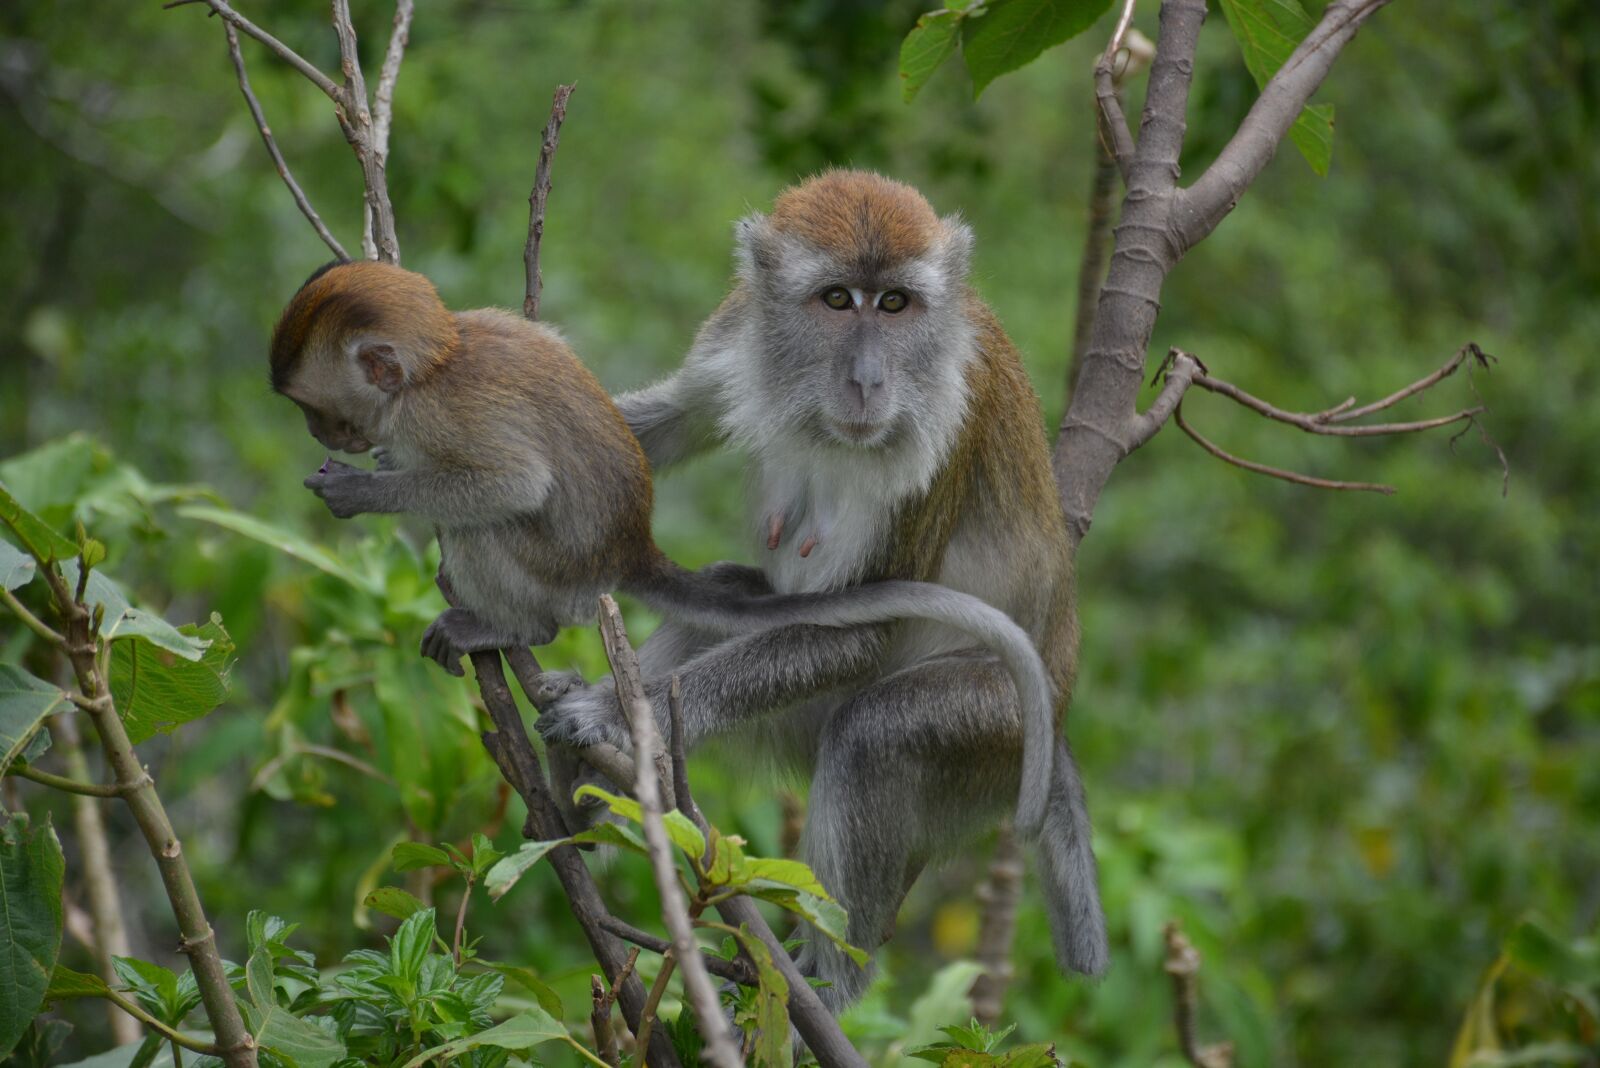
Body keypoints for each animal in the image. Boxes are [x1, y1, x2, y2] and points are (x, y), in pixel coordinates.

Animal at [265, 257, 1063, 838]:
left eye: (315, 409)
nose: (317, 434)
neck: (440, 355)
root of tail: (631, 551)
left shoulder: (437, 413)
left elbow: (513, 484)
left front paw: (364, 492)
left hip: (559, 574)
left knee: (491, 532)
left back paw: (512, 626)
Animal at [534, 170, 1108, 1012]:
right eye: (837, 300)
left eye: (895, 303)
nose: (868, 380)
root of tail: (1062, 713)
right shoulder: (736, 332)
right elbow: (660, 425)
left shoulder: (946, 429)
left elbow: (859, 632)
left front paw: (612, 712)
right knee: (725, 600)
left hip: (994, 730)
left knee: (875, 732)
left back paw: (833, 983)